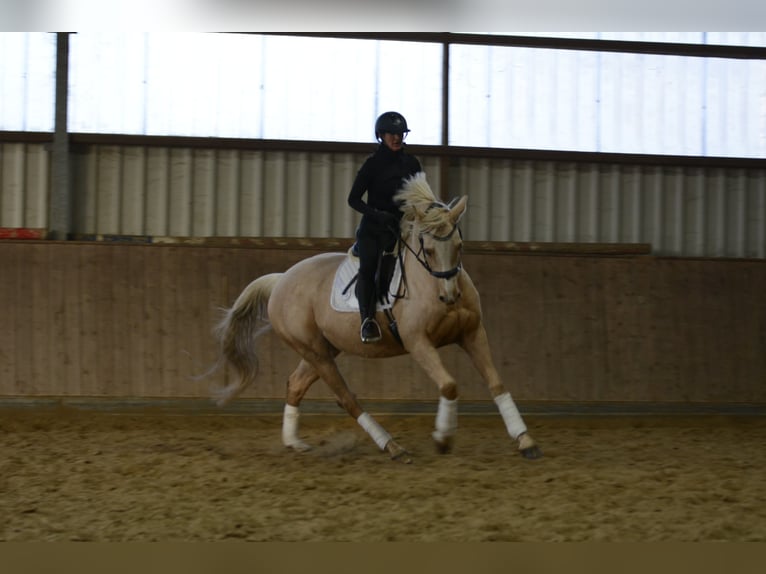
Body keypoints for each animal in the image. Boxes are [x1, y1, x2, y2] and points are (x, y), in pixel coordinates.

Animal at [212, 172, 542, 463]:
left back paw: (294, 442)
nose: (449, 297)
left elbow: (497, 384)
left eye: (459, 246)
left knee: (295, 384)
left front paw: (525, 441)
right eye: (429, 250)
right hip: (315, 351)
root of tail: (281, 280)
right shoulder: (418, 342)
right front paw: (443, 438)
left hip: (323, 348)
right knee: (347, 398)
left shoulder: (472, 333)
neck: (430, 282)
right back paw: (393, 448)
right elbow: (449, 385)